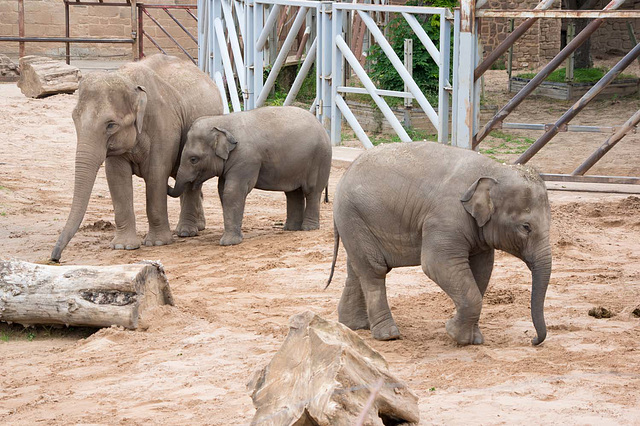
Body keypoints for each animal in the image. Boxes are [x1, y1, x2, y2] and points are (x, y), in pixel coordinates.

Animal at [48, 55, 222, 262]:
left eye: (111, 125)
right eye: (74, 119)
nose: (55, 258)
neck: (129, 80)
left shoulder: (163, 127)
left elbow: (156, 175)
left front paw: (158, 243)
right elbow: (116, 177)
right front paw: (123, 246)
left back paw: (186, 232)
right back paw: (197, 226)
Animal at [168, 106, 332, 246]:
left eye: (193, 159)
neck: (222, 121)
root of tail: (322, 127)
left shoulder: (246, 159)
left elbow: (233, 192)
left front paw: (228, 243)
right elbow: (222, 190)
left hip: (319, 159)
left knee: (312, 191)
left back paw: (308, 228)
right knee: (293, 192)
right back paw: (291, 228)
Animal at [328, 142, 552, 346]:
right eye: (526, 227)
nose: (532, 340)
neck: (493, 169)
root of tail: (345, 174)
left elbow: (482, 270)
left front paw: (474, 339)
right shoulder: (445, 218)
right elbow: (436, 264)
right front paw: (457, 335)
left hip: (356, 221)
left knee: (357, 268)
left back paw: (354, 326)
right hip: (354, 216)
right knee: (374, 270)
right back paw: (388, 335)